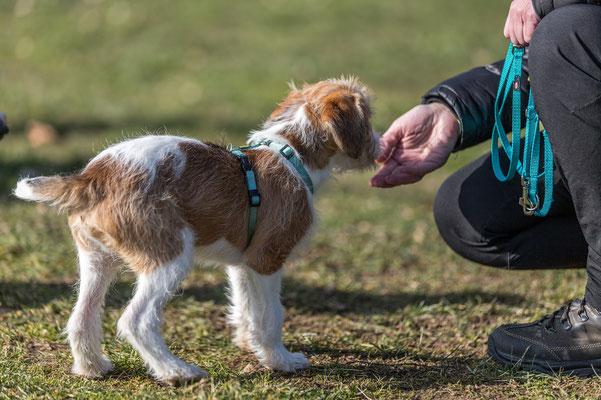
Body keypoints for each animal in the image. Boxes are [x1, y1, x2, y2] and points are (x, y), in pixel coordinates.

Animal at [14, 76, 378, 386]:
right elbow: (272, 315)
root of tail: (92, 177)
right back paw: (177, 372)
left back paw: (93, 368)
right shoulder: (267, 260)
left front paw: (249, 344)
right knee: (136, 321)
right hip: (169, 257)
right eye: (369, 118)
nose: (380, 146)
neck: (290, 154)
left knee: (81, 317)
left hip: (95, 260)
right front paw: (281, 360)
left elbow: (247, 308)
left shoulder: (243, 264)